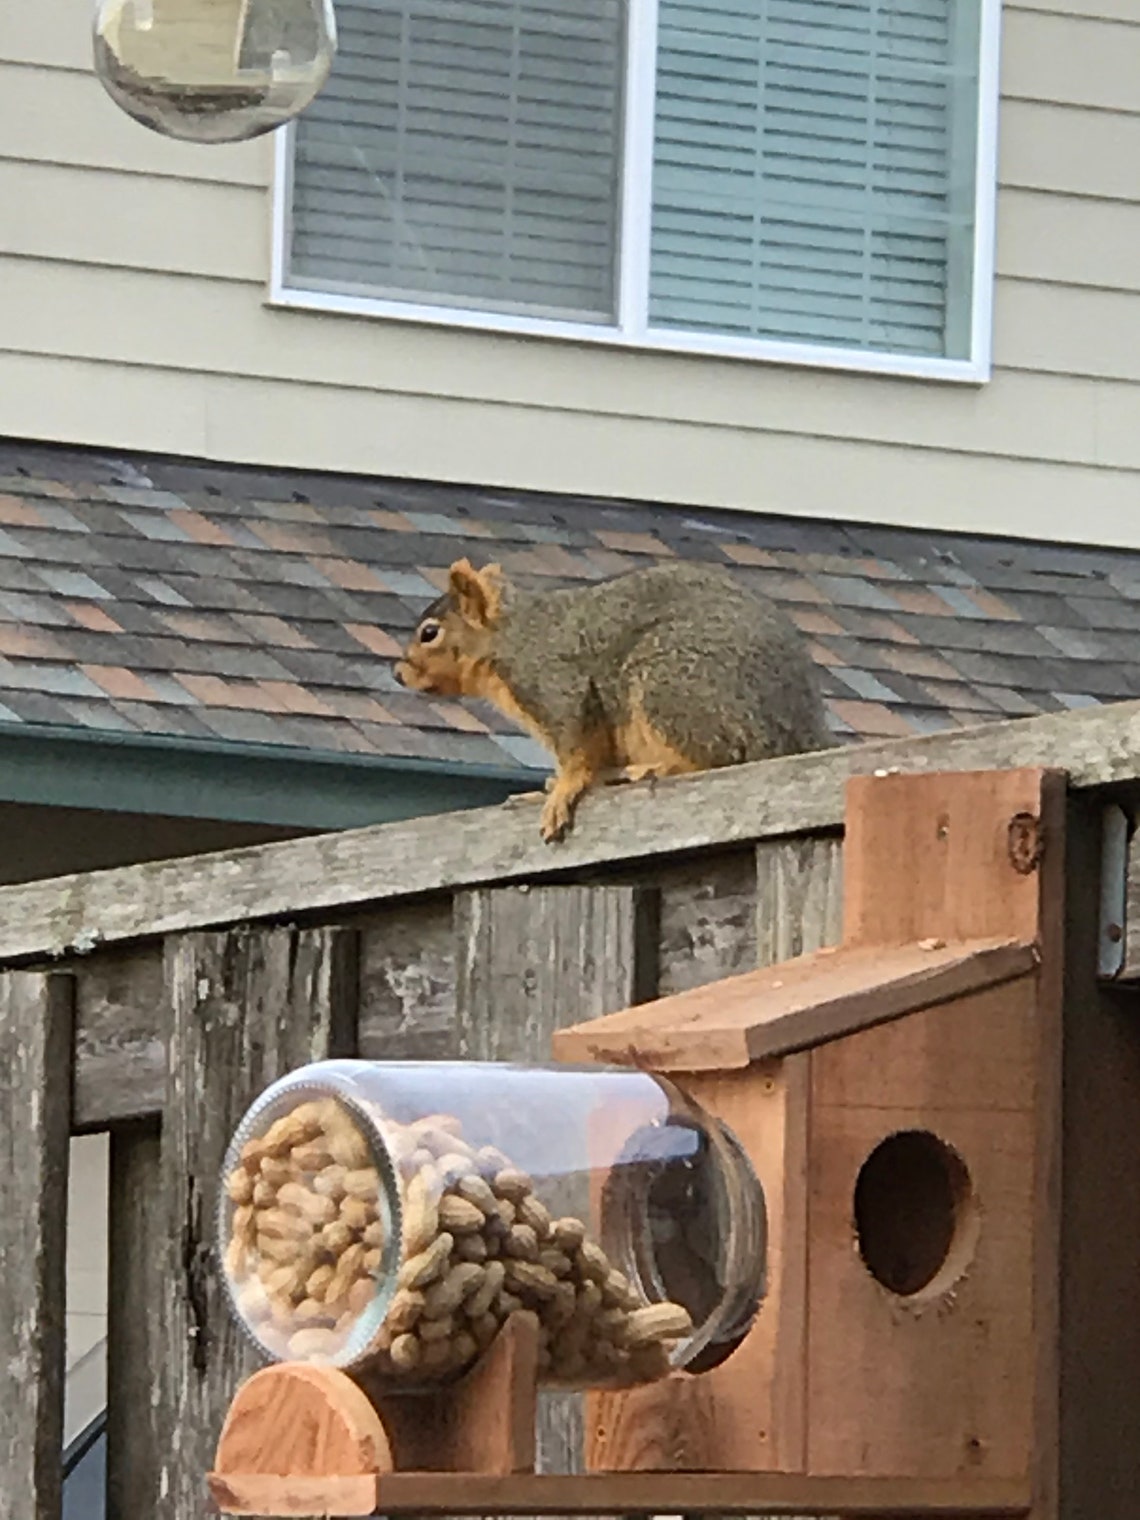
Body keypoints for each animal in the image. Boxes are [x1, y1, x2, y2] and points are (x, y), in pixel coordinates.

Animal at [394, 557, 835, 844]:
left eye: (430, 633)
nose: (399, 674)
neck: (509, 638)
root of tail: (802, 732)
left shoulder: (558, 684)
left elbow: (577, 752)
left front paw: (560, 792)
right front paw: (548, 786)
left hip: (670, 685)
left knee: (721, 756)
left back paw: (647, 769)